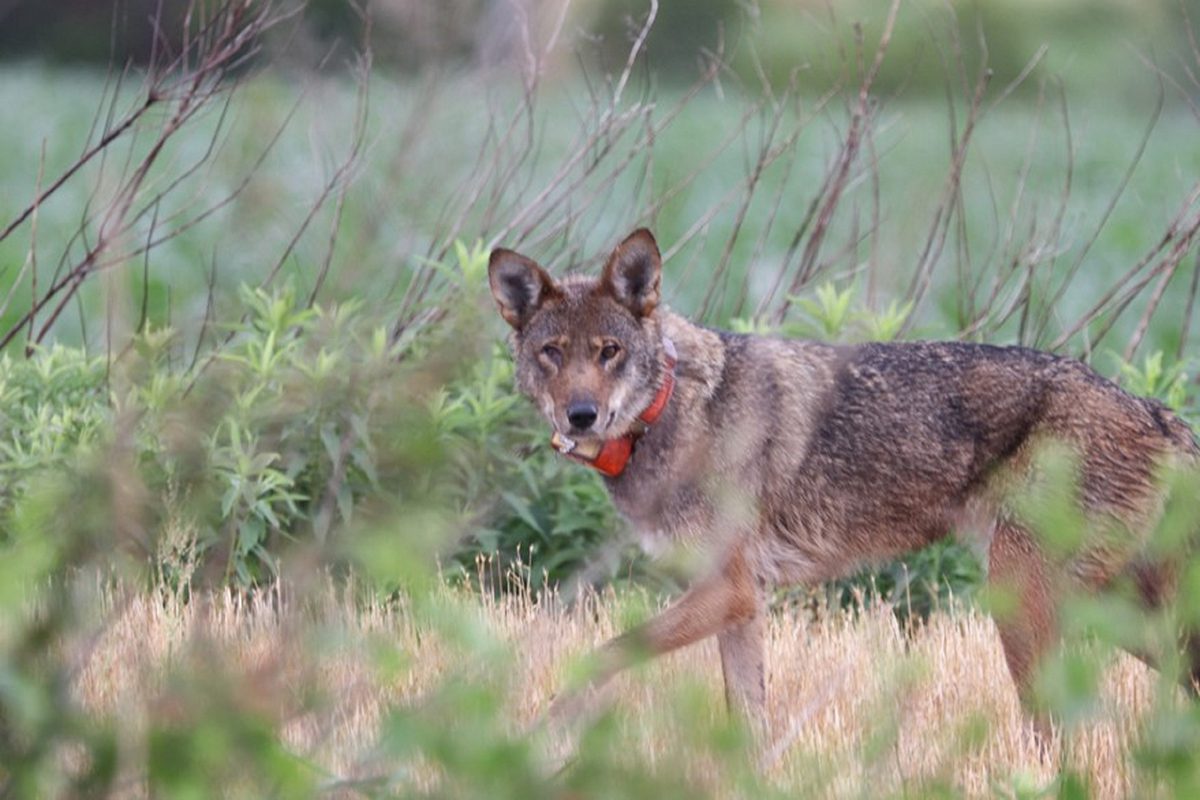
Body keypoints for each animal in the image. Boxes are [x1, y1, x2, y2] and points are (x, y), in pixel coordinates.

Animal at [484, 225, 1200, 738]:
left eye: (608, 352)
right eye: (552, 354)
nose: (581, 414)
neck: (671, 409)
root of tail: (1155, 410)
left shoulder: (729, 592)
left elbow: (603, 653)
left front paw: (543, 733)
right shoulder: (742, 605)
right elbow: (747, 717)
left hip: (1028, 600)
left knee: (1057, 728)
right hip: (1114, 612)